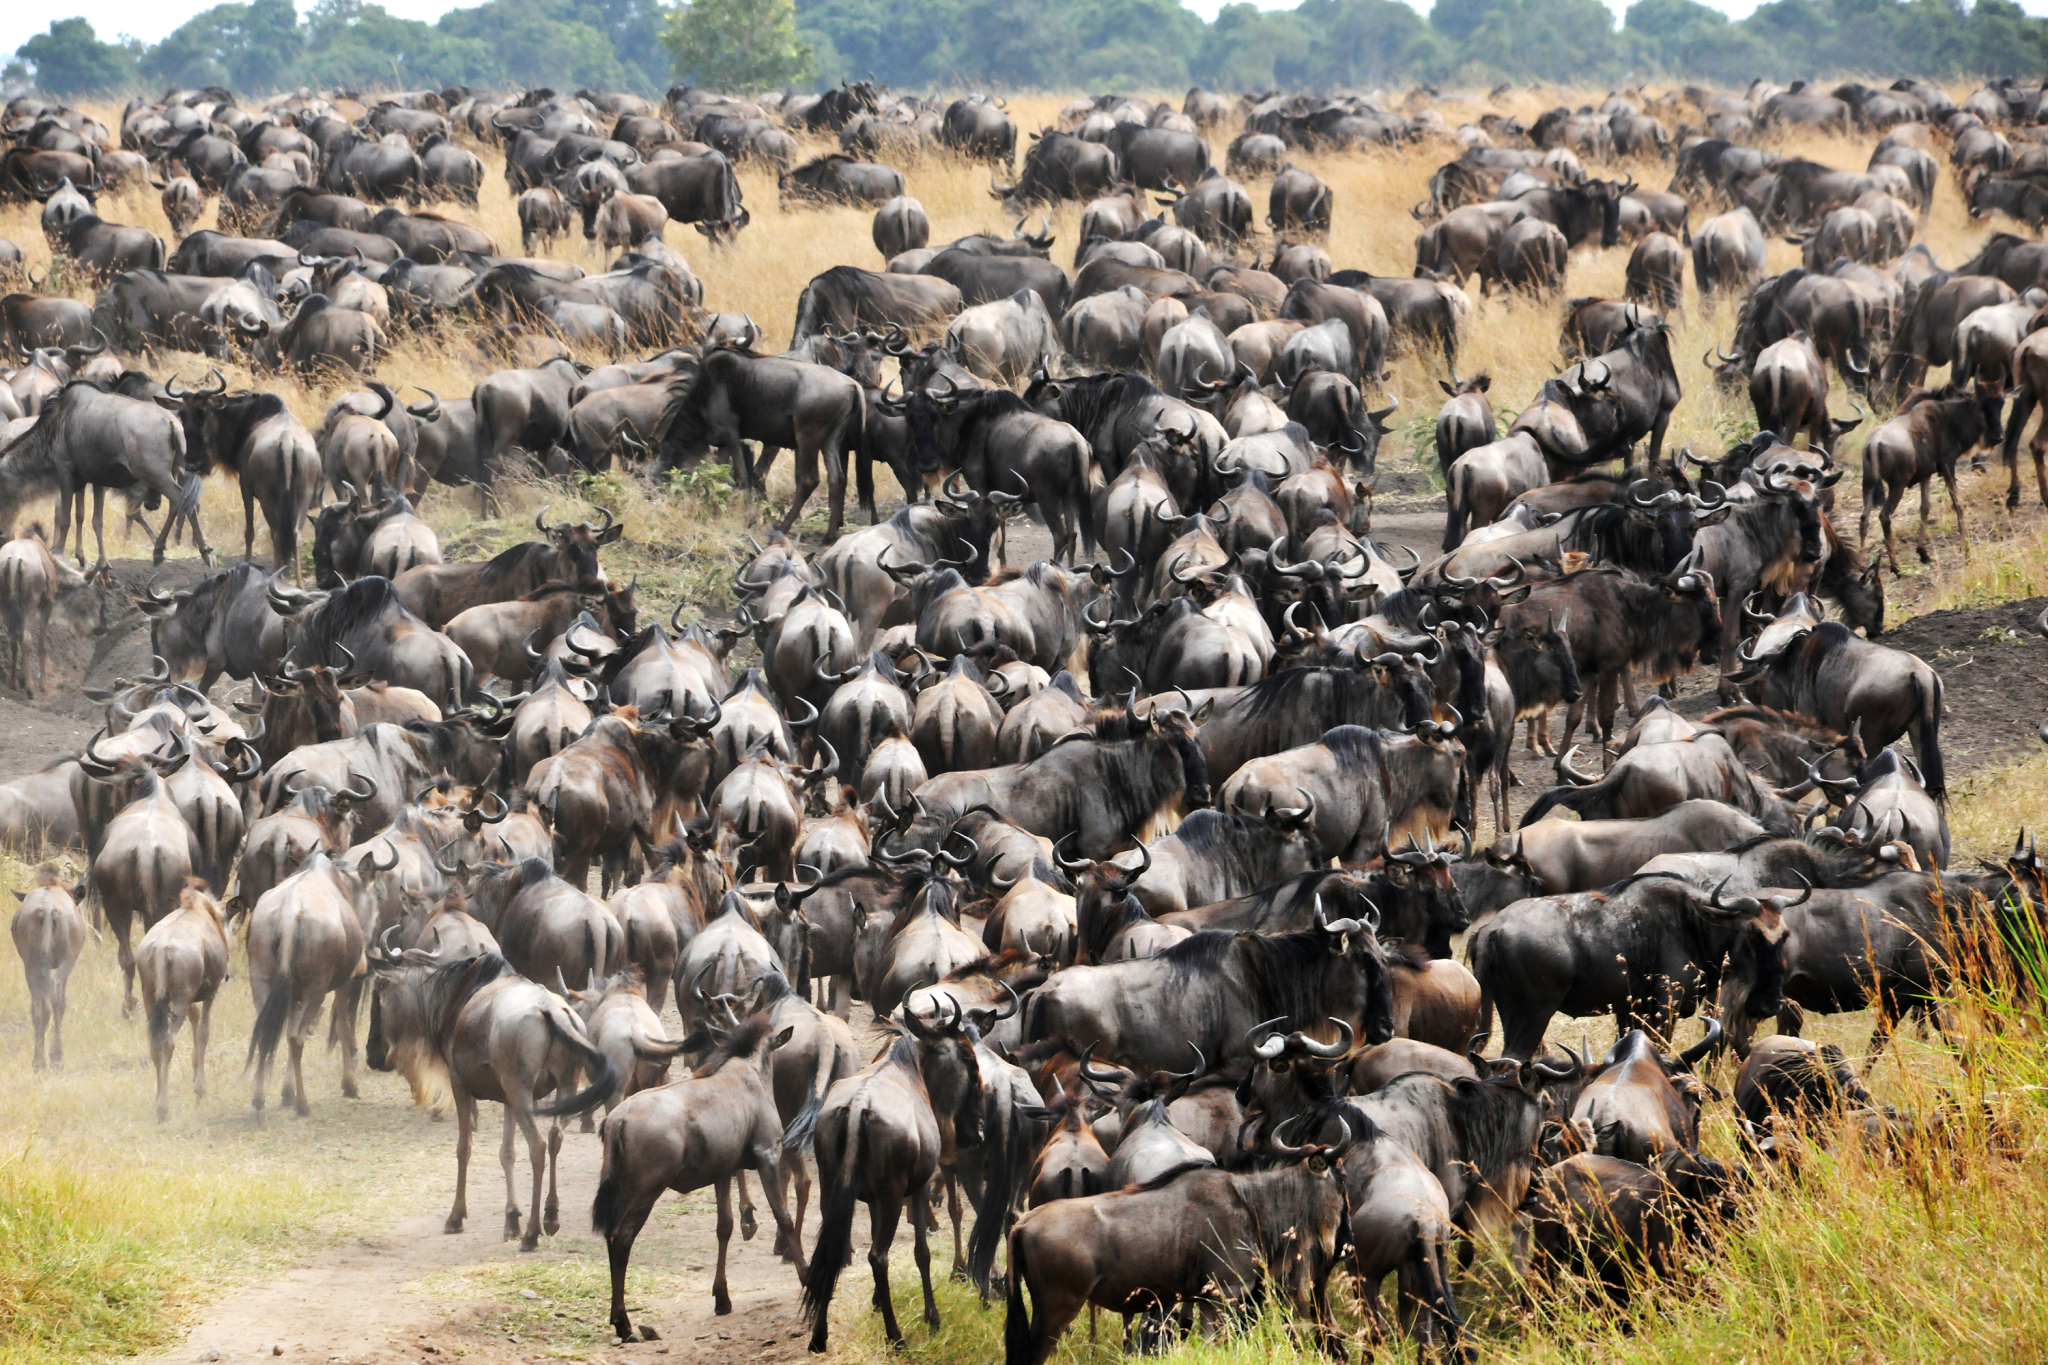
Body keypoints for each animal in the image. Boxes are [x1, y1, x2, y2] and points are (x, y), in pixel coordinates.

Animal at [9, 863, 86, 1080]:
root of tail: (47, 910)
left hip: (32, 962)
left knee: (38, 1004)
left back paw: (38, 1061)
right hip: (66, 958)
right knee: (56, 996)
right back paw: (56, 1058)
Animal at [139, 875, 231, 1121]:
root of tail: (161, 948)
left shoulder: (189, 999)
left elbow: (195, 1022)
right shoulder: (210, 993)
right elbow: (203, 1034)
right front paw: (200, 1089)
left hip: (151, 997)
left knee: (154, 1044)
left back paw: (157, 1099)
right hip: (179, 1000)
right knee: (168, 1042)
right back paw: (163, 1108)